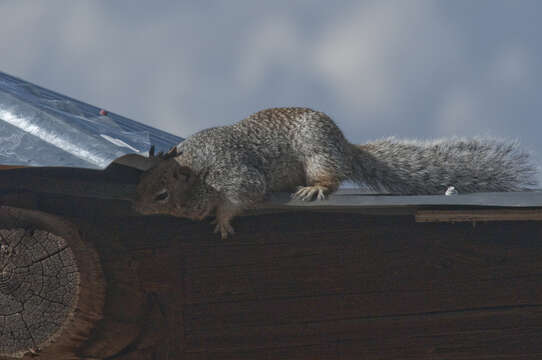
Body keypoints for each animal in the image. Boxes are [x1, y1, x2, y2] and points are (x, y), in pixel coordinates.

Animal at [135, 107, 540, 238]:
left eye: (162, 195)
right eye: (142, 181)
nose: (134, 207)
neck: (198, 172)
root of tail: (344, 145)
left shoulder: (235, 176)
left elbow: (242, 197)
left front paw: (221, 220)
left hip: (318, 155)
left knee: (331, 177)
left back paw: (314, 189)